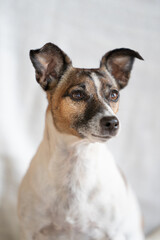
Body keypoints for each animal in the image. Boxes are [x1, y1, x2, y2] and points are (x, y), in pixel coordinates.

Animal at [18, 42, 144, 239]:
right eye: (77, 95)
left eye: (114, 94)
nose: (112, 122)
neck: (76, 158)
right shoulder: (28, 230)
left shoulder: (114, 233)